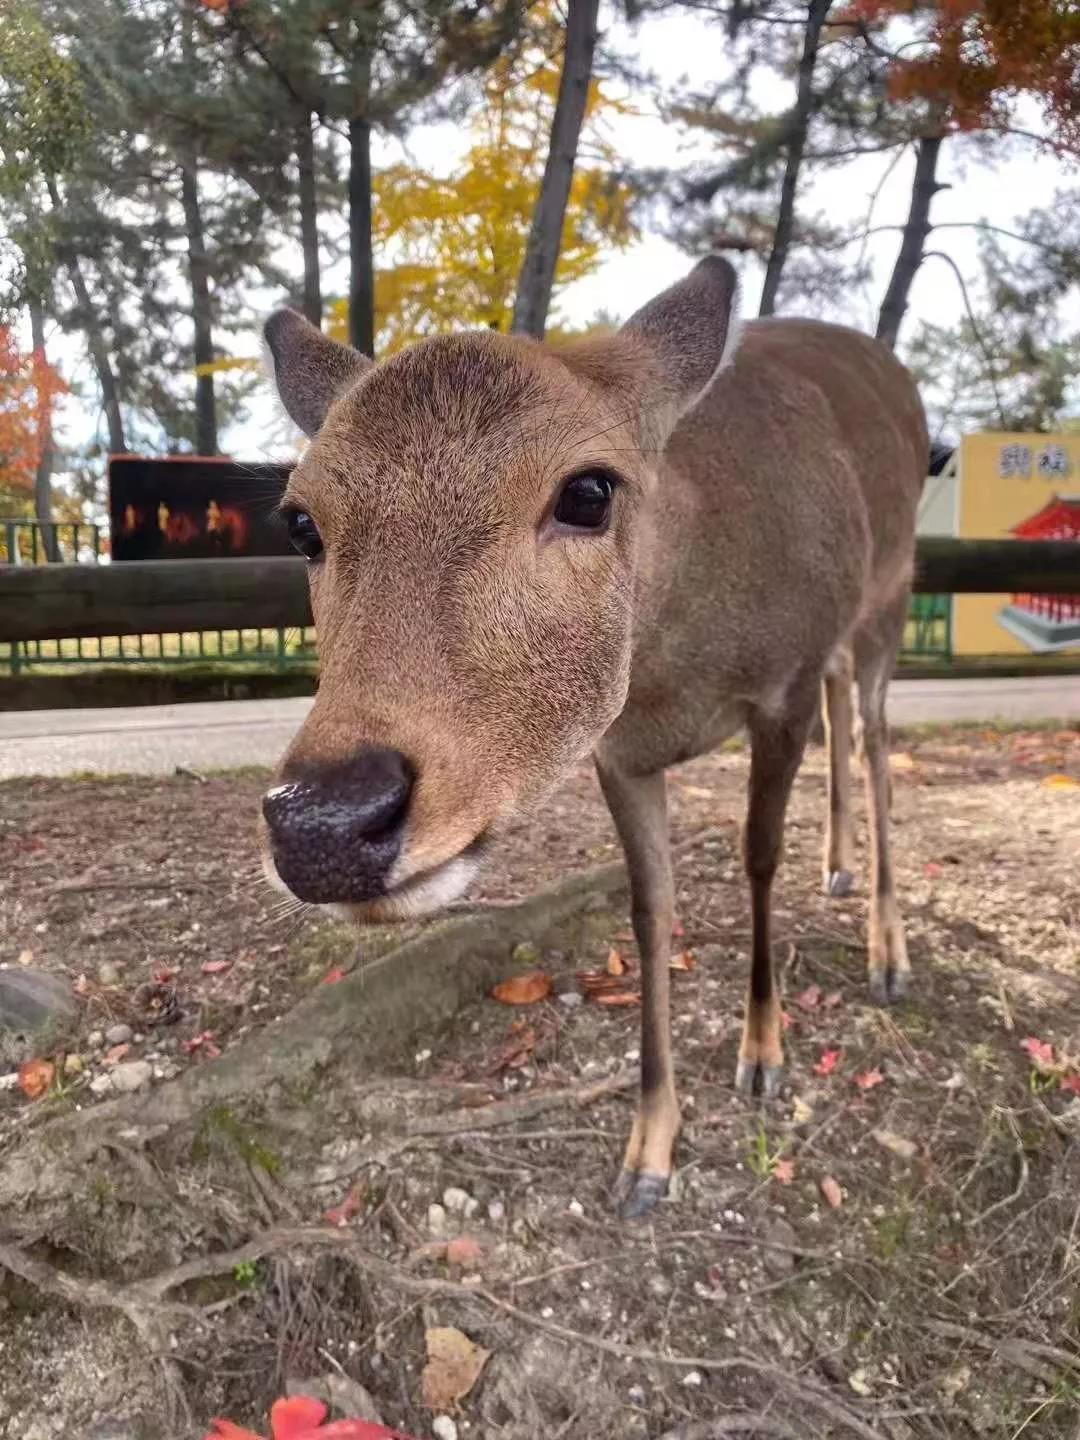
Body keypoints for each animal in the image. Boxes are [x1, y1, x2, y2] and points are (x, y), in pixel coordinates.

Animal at [257, 259, 927, 1215]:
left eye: (587, 491)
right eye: (301, 522)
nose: (324, 823)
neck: (675, 669)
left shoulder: (784, 686)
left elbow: (759, 857)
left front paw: (763, 1055)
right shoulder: (619, 754)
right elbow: (650, 908)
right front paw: (648, 1152)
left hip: (891, 594)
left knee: (873, 739)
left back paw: (888, 955)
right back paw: (835, 871)